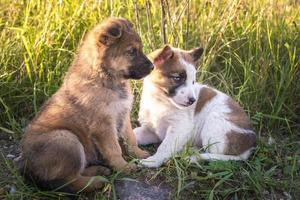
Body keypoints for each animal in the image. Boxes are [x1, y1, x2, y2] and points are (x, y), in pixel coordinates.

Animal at [16, 18, 152, 193]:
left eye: (139, 49)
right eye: (131, 51)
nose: (152, 67)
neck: (104, 77)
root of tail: (26, 169)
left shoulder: (123, 113)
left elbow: (130, 138)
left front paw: (139, 154)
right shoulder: (103, 125)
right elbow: (114, 149)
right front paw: (124, 167)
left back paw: (99, 170)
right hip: (67, 139)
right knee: (70, 180)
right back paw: (97, 181)